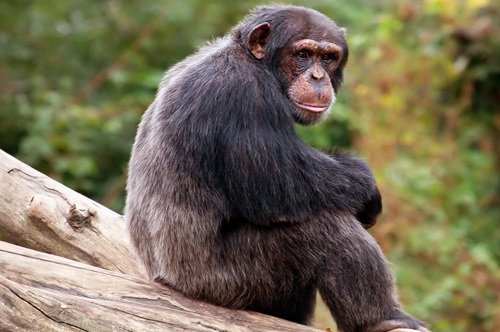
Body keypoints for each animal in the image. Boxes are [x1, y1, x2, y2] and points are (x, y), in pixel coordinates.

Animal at [126, 4, 430, 332]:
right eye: (303, 54)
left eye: (328, 57)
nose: (317, 76)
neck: (250, 59)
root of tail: (165, 281)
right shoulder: (247, 96)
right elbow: (280, 184)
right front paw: (368, 188)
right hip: (229, 281)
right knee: (325, 229)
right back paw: (381, 318)